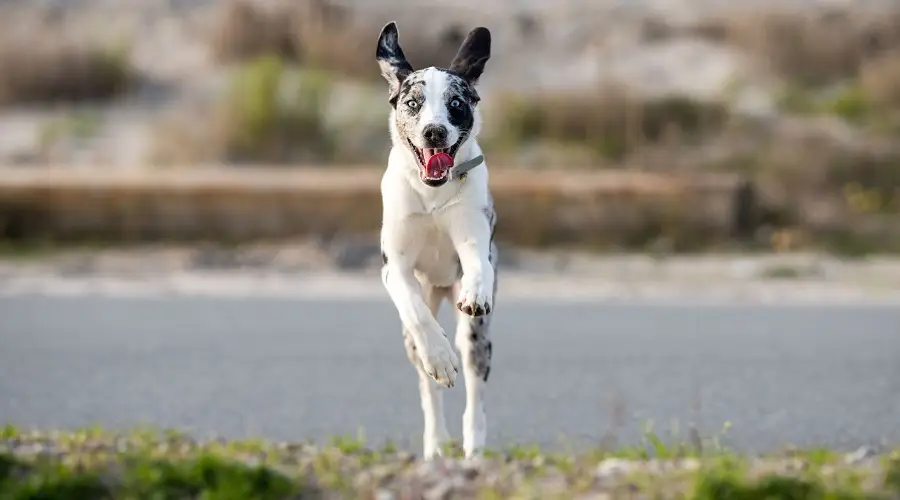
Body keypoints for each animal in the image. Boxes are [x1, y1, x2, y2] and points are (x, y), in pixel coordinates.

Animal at [374, 23, 500, 460]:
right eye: (413, 103)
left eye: (456, 103)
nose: (434, 131)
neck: (433, 195)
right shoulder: (394, 268)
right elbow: (415, 312)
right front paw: (440, 358)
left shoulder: (474, 238)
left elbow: (479, 265)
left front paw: (478, 290)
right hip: (415, 330)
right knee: (427, 385)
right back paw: (436, 443)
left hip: (478, 337)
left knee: (476, 382)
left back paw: (474, 446)